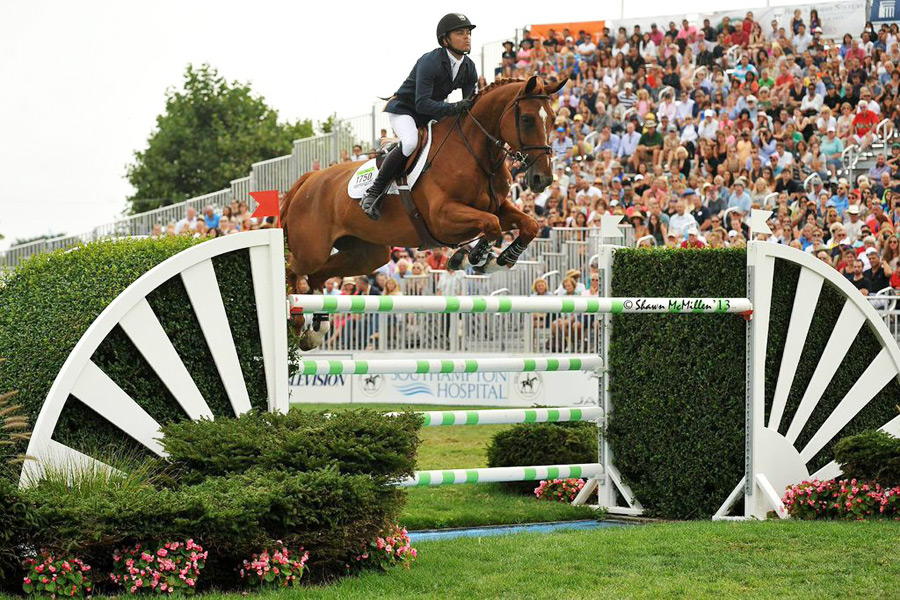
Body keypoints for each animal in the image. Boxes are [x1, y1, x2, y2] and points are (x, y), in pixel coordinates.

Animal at [282, 76, 568, 346]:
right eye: (528, 119)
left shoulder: (498, 208)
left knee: (317, 276)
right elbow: (491, 225)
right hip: (311, 250)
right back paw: (296, 323)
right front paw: (473, 257)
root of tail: (307, 180)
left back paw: (315, 331)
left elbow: (528, 225)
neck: (476, 154)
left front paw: (500, 259)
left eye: (553, 119)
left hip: (366, 255)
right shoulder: (443, 218)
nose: (542, 179)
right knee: (293, 270)